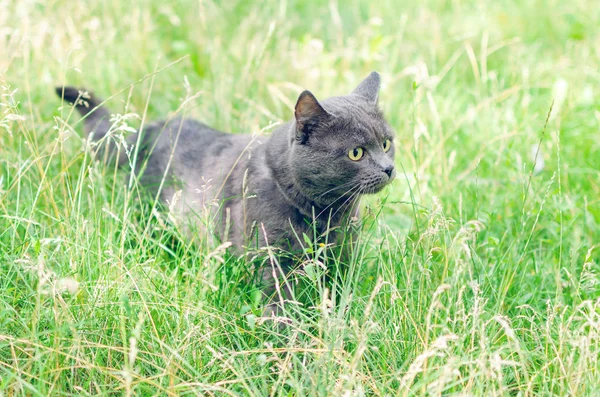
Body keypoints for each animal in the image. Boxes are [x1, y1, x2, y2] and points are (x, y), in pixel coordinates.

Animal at [55, 72, 394, 310]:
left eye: (387, 143)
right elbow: (280, 304)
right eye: (356, 153)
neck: (325, 213)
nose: (388, 168)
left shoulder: (342, 257)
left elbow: (336, 293)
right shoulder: (270, 258)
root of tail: (144, 132)